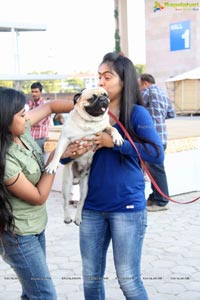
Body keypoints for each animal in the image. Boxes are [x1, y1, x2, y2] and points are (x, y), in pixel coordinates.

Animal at [45, 86, 123, 225]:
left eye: (106, 95)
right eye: (92, 98)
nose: (103, 99)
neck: (89, 123)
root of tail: (77, 178)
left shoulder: (105, 127)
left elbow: (113, 129)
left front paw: (118, 138)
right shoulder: (65, 138)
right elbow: (58, 153)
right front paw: (52, 165)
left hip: (85, 187)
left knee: (81, 202)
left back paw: (78, 218)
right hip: (67, 183)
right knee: (66, 202)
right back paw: (67, 217)